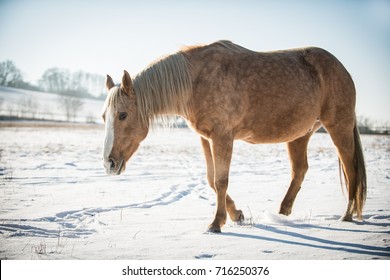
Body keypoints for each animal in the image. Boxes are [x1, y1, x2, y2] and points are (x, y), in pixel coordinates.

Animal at [102, 40, 368, 233]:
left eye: (123, 115)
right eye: (105, 116)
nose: (109, 164)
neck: (196, 81)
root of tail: (343, 69)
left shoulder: (222, 137)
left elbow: (221, 180)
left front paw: (216, 223)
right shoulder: (206, 138)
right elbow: (211, 180)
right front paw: (237, 215)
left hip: (338, 127)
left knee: (350, 169)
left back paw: (346, 216)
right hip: (300, 135)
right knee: (300, 170)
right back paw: (281, 214)